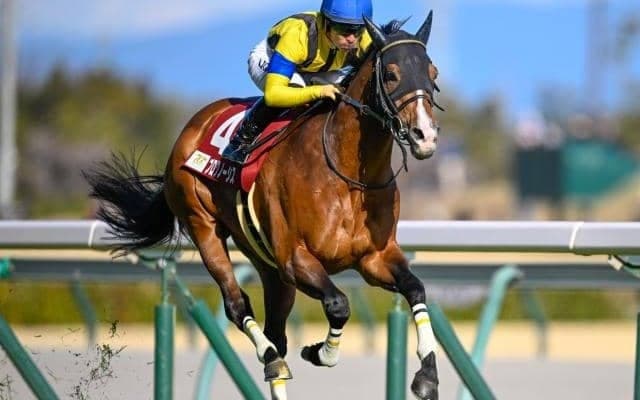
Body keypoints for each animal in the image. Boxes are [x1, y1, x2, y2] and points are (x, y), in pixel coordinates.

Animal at [85, 12, 441, 400]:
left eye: (433, 73)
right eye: (391, 74)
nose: (425, 135)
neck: (346, 174)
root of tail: (193, 126)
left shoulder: (374, 258)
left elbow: (415, 288)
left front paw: (427, 373)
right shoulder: (295, 259)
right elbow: (338, 305)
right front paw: (319, 352)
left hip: (266, 263)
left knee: (277, 332)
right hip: (203, 225)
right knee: (238, 306)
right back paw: (270, 357)